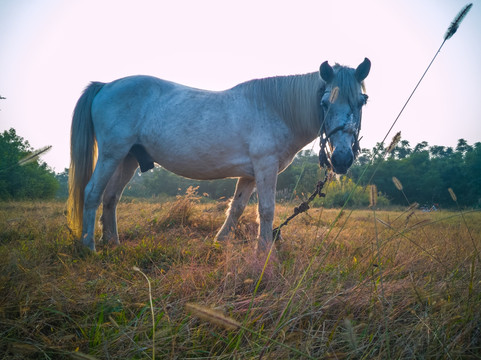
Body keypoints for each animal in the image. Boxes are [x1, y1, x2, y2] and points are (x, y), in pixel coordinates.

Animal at [67, 58, 370, 250]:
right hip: (111, 154)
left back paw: (113, 244)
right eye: (324, 102)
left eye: (362, 101)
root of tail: (105, 86)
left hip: (128, 159)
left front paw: (220, 242)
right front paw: (264, 253)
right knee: (93, 193)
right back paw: (89, 246)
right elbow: (266, 210)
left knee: (111, 197)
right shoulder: (265, 167)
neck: (275, 108)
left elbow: (236, 208)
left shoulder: (250, 174)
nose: (342, 159)